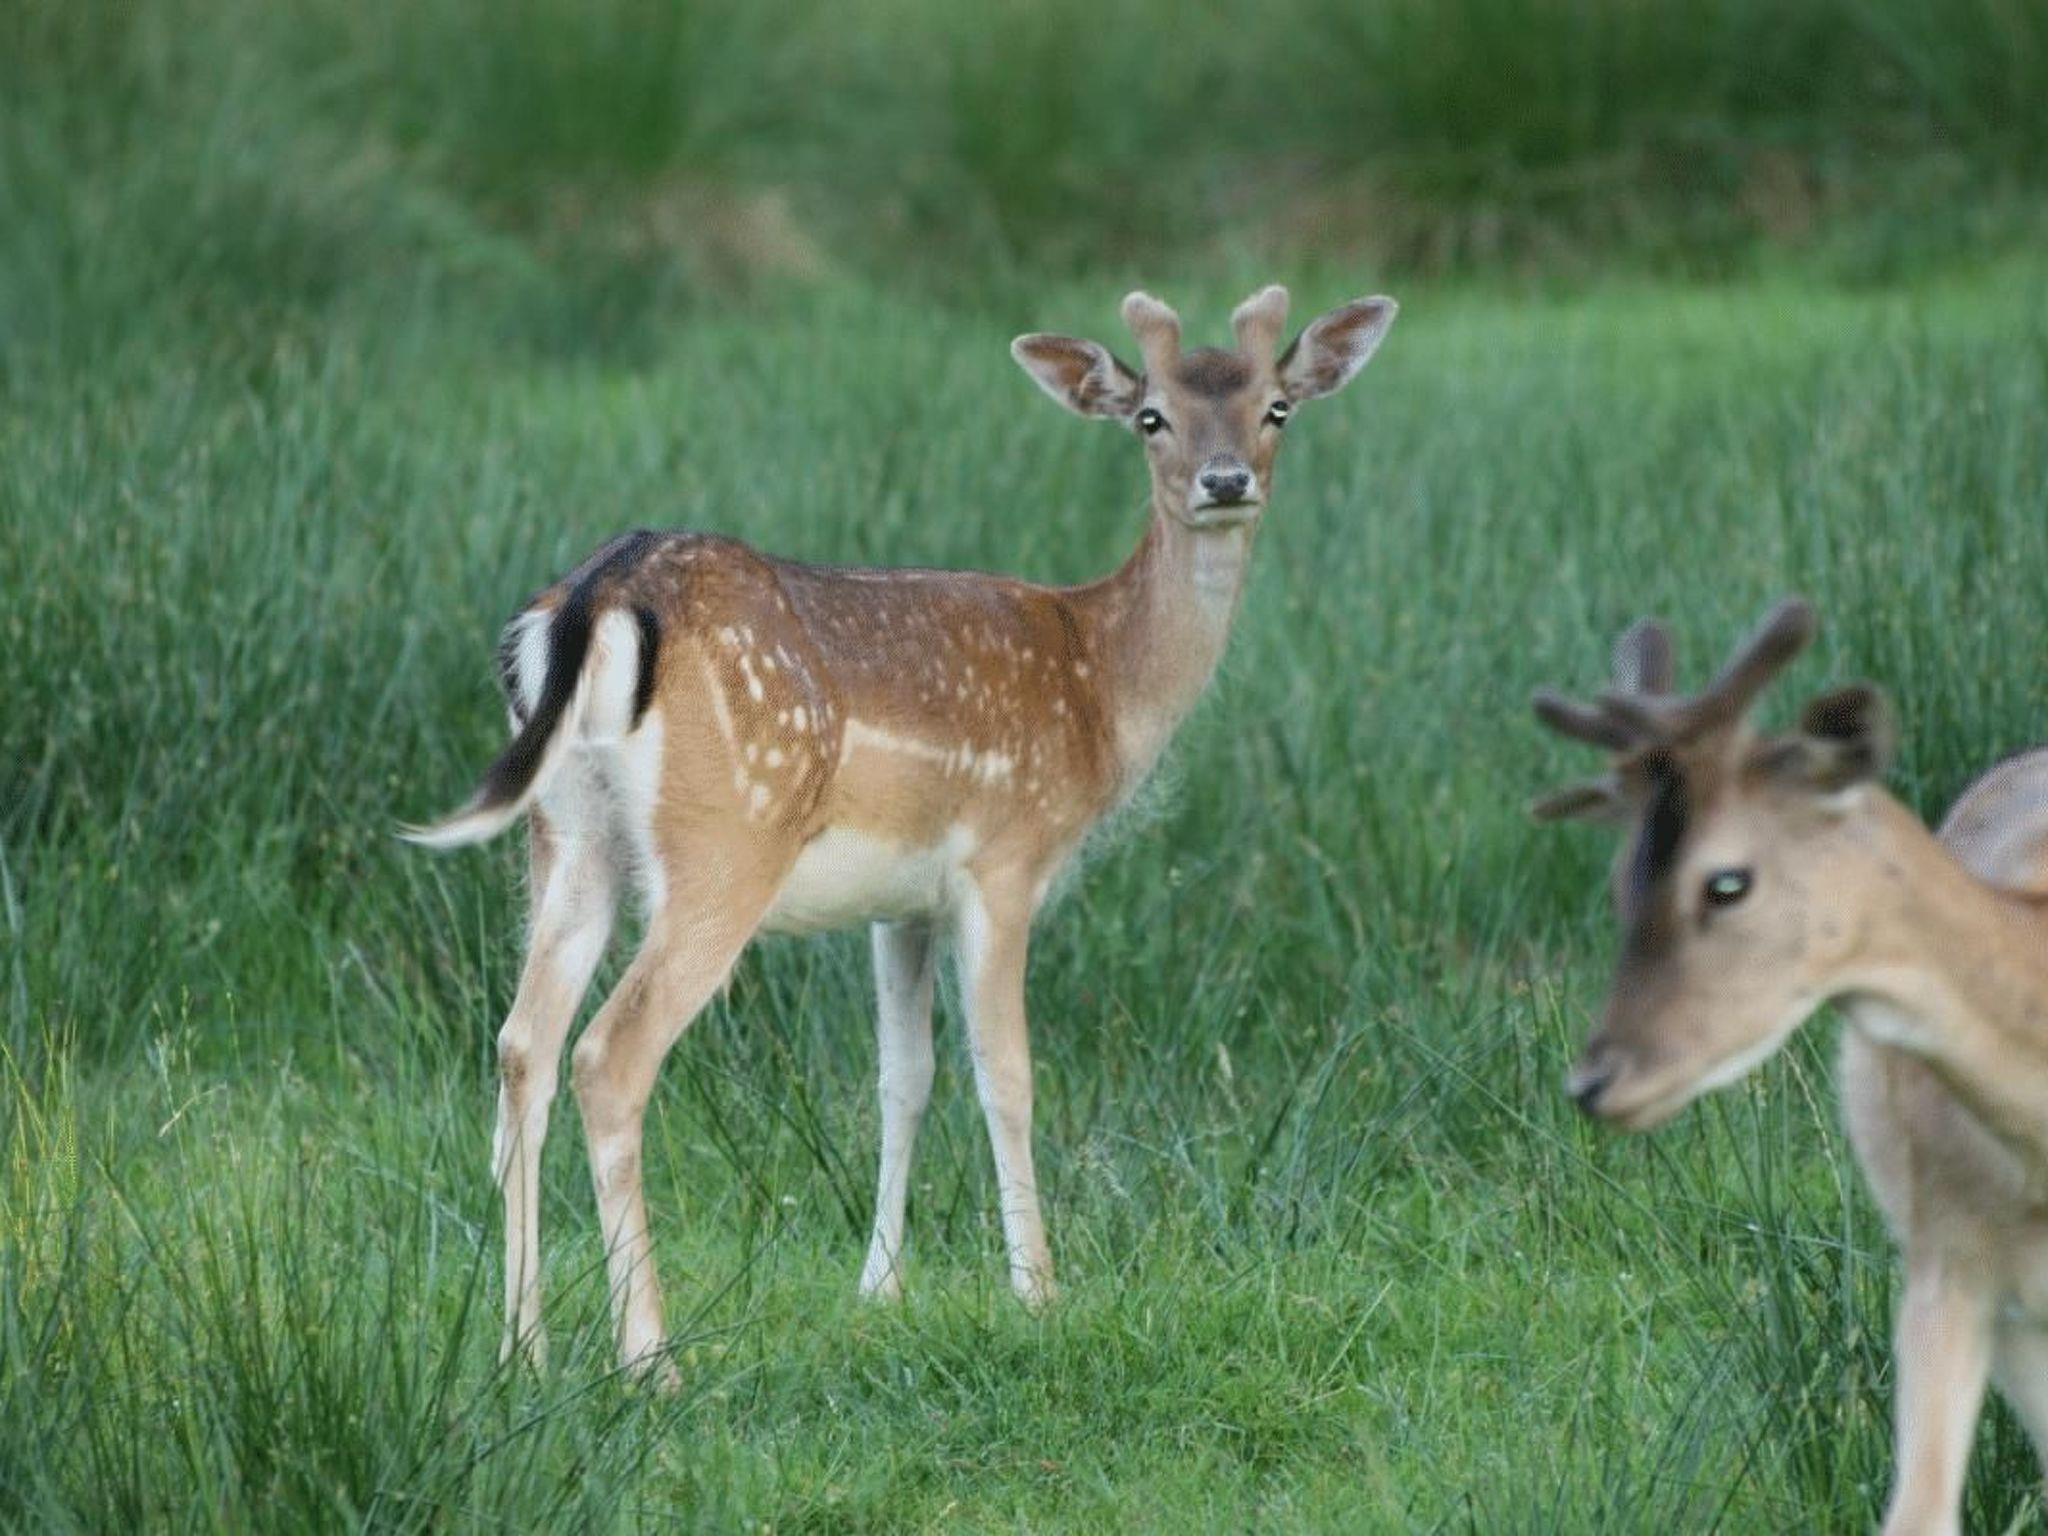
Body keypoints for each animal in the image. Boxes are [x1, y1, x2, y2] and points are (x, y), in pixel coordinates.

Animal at [403, 285, 1398, 1380]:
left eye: (1274, 408)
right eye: (1152, 418)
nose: (1224, 482)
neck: (1099, 691)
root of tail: (595, 598)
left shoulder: (900, 903)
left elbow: (903, 1077)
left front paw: (878, 1285)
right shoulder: (1005, 860)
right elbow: (1006, 1076)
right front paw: (1038, 1292)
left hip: (569, 840)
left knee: (521, 1047)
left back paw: (519, 1351)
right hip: (725, 842)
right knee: (608, 1057)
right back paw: (653, 1360)